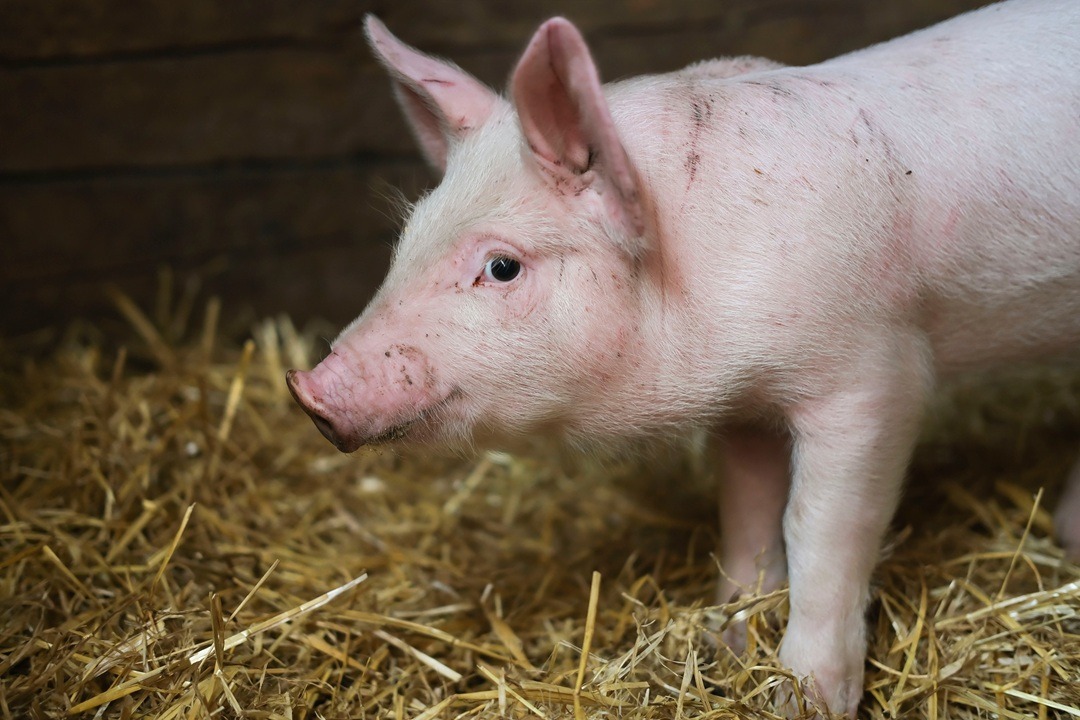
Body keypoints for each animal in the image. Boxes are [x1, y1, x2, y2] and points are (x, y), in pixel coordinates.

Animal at [287, 0, 1080, 714]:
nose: (308, 389)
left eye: (502, 267)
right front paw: (726, 641)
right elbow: (748, 512)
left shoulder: (874, 378)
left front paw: (803, 698)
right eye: (408, 236)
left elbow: (820, 528)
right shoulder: (747, 405)